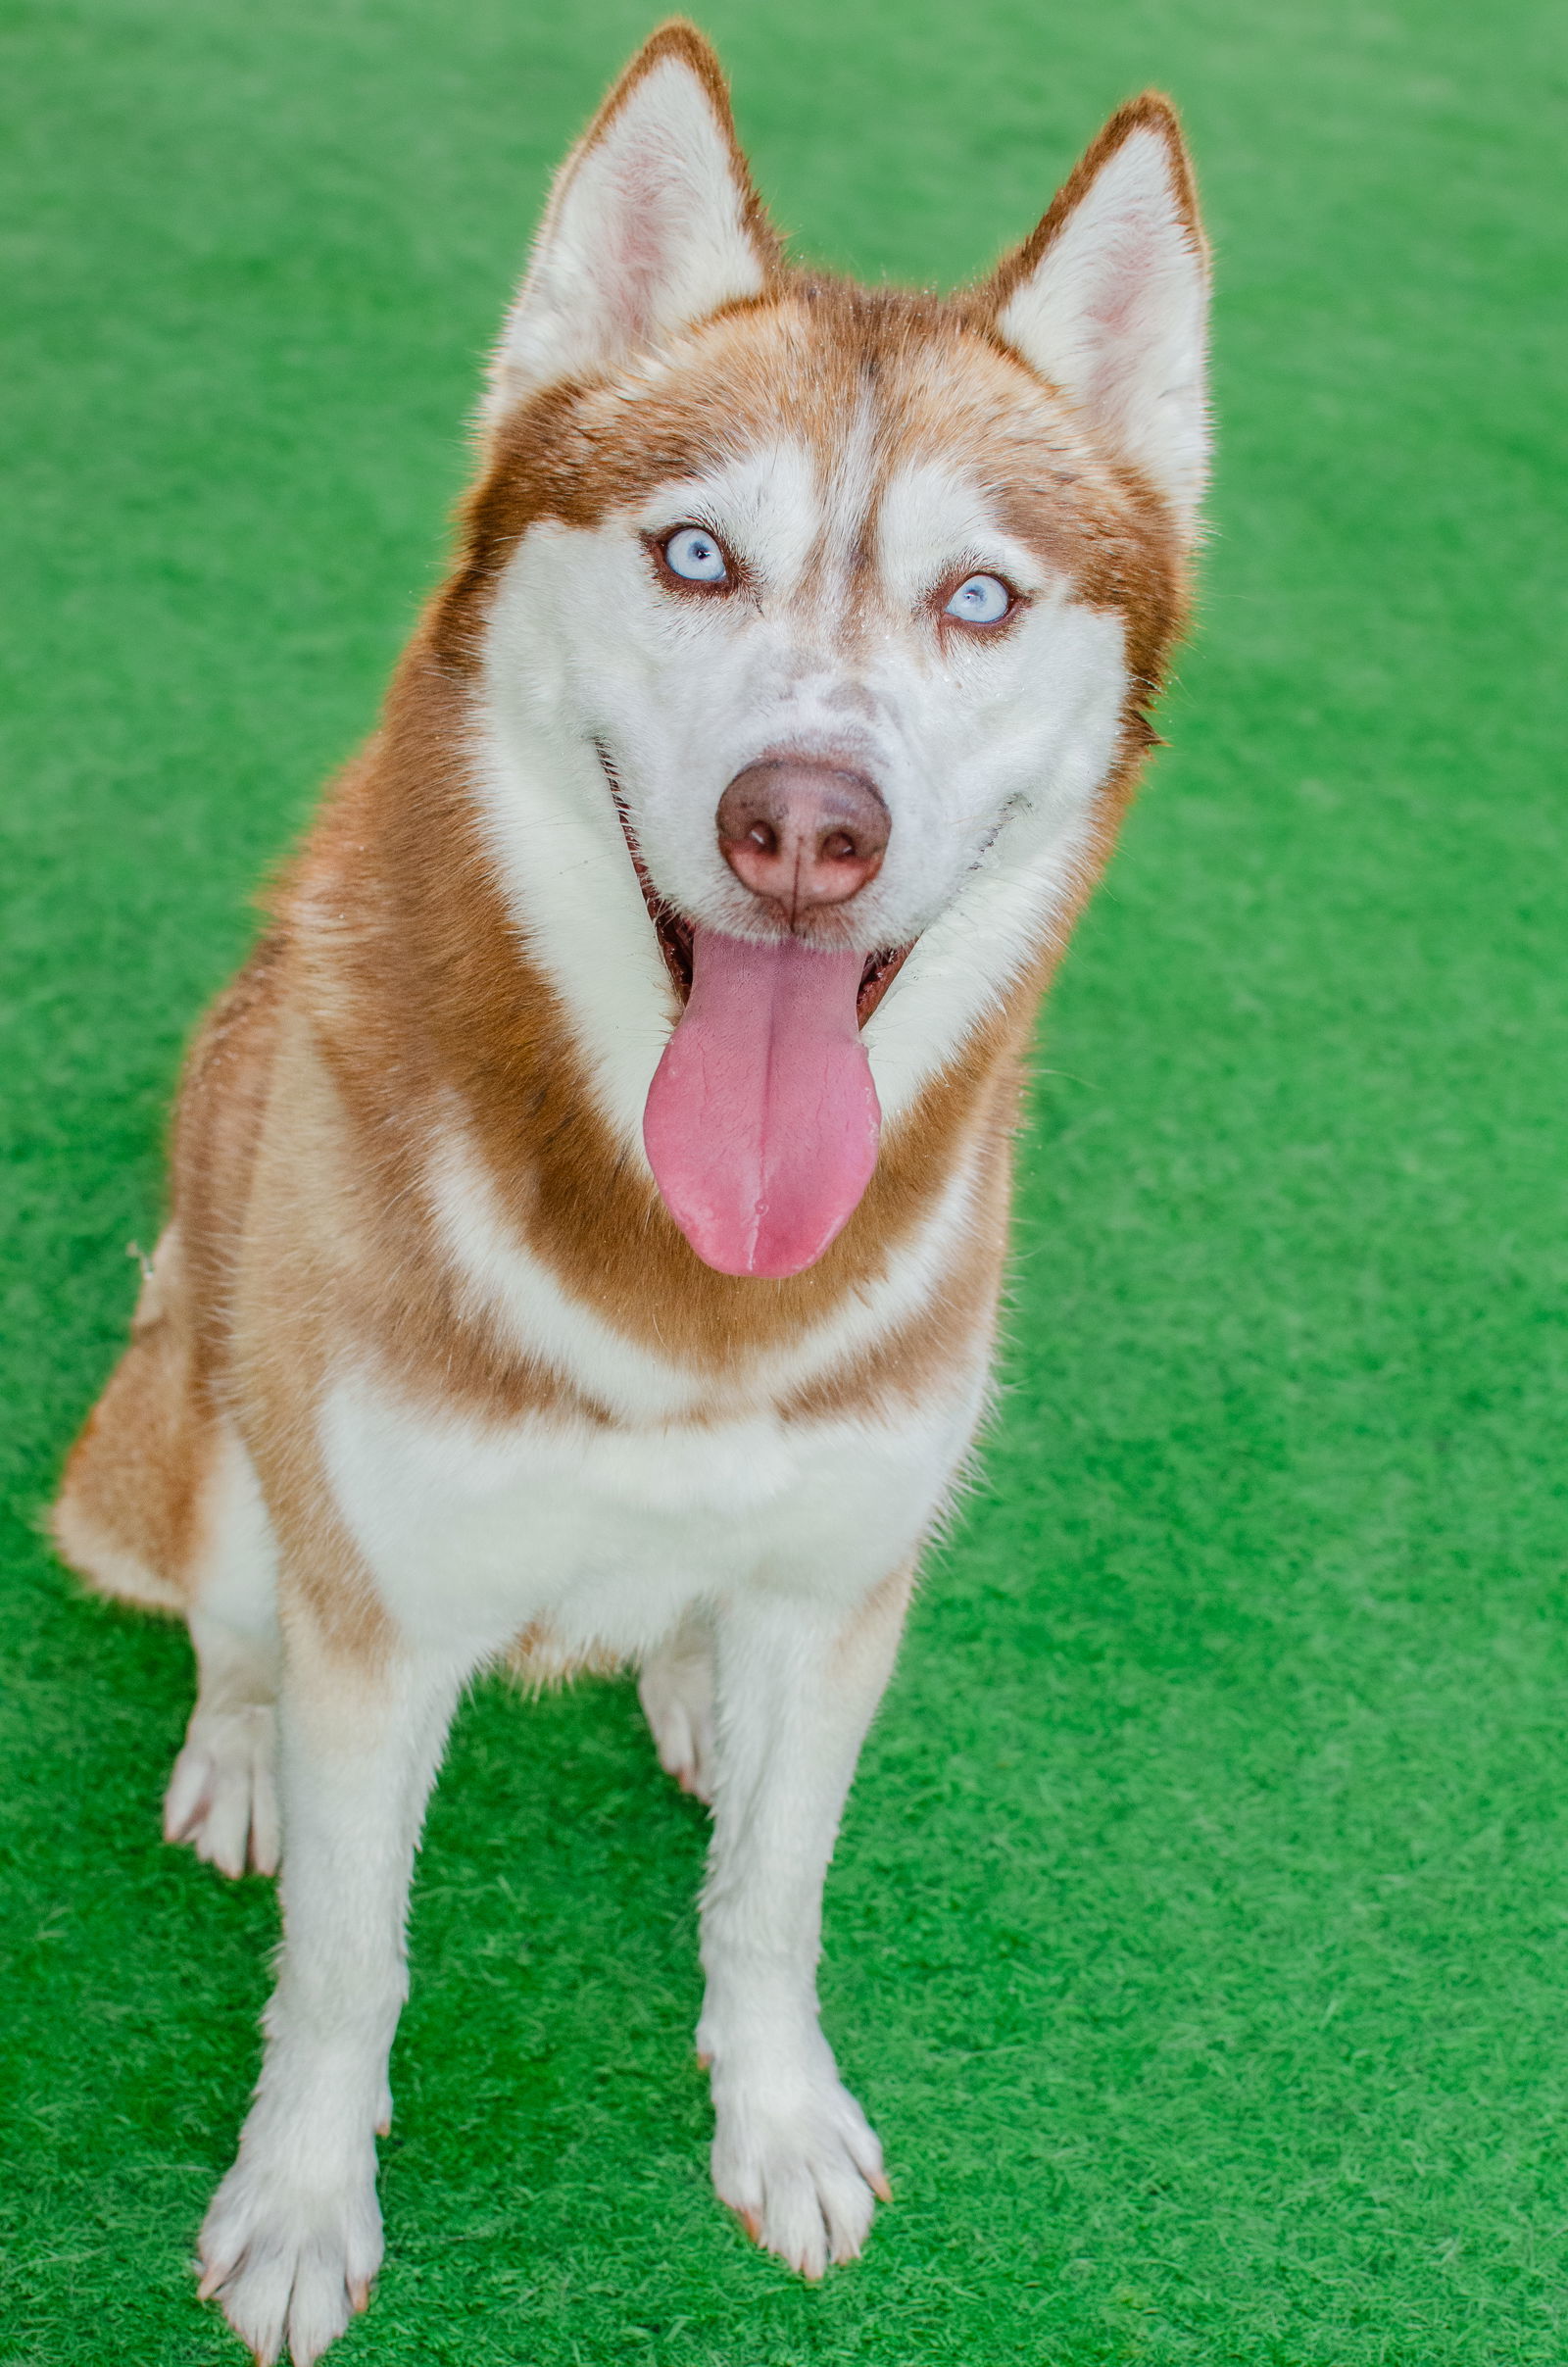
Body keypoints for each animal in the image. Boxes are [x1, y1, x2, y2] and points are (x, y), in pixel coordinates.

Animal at [55, 23, 1210, 2367]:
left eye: (976, 597)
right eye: (693, 555)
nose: (808, 825)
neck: (694, 1304)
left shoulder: (847, 1581)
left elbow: (770, 1892)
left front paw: (776, 2118)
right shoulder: (383, 1616)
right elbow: (347, 1959)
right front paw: (297, 2205)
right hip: (198, 1443)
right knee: (231, 1609)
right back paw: (235, 1755)